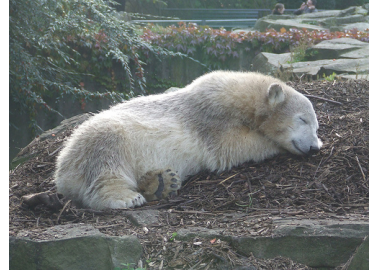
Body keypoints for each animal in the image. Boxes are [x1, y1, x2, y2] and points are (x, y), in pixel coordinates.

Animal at [54, 70, 322, 210]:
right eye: (302, 119)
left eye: (316, 125)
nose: (314, 147)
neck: (241, 99)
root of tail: (61, 169)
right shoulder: (211, 117)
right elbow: (231, 146)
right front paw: (274, 143)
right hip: (99, 139)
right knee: (106, 159)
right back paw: (125, 197)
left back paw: (161, 183)